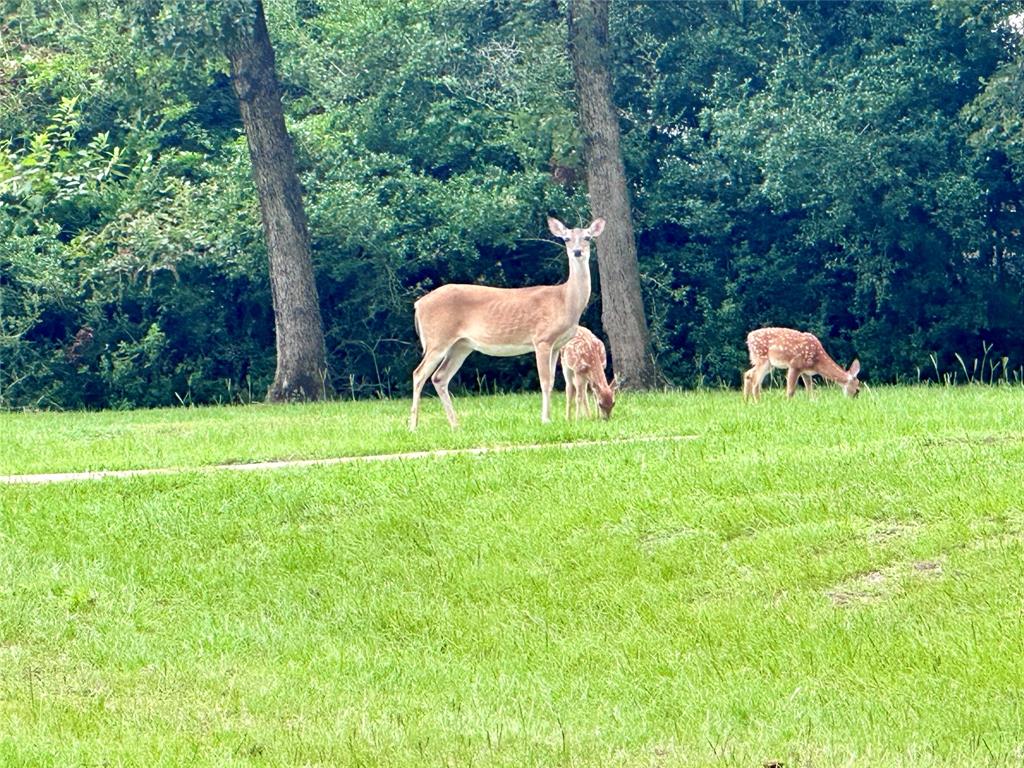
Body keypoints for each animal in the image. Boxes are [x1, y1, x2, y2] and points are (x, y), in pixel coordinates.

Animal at [403, 217, 602, 434]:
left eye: (588, 237)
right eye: (566, 238)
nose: (577, 251)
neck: (564, 300)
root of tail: (418, 304)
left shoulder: (557, 345)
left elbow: (551, 383)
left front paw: (549, 418)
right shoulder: (541, 339)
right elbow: (545, 381)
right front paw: (545, 420)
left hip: (461, 346)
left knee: (439, 377)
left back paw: (455, 425)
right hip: (437, 339)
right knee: (418, 373)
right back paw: (413, 426)